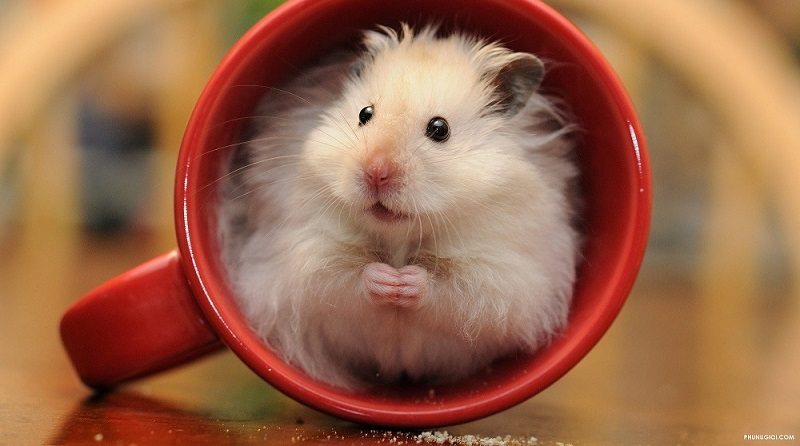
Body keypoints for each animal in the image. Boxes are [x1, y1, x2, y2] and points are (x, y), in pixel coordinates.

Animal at [219, 24, 582, 390]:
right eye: (364, 114)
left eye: (439, 129)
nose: (376, 173)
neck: (399, 237)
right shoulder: (307, 257)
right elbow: (341, 279)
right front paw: (387, 280)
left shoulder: (501, 278)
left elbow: (453, 292)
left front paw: (404, 281)